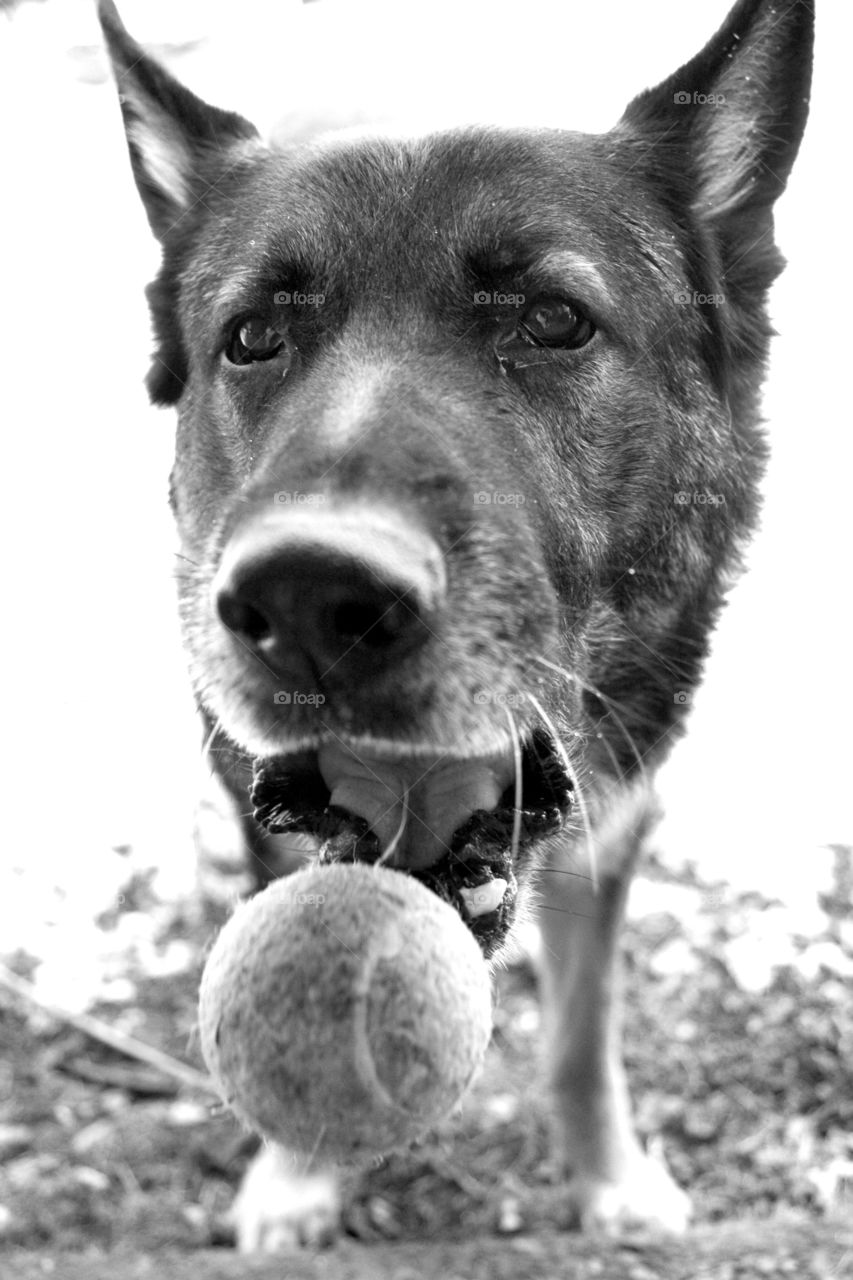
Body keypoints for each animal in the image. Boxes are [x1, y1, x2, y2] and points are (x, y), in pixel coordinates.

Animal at [99, 0, 809, 1254]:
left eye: (554, 319)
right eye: (251, 338)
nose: (310, 599)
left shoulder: (615, 816)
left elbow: (582, 1030)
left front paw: (608, 1175)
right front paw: (298, 1173)